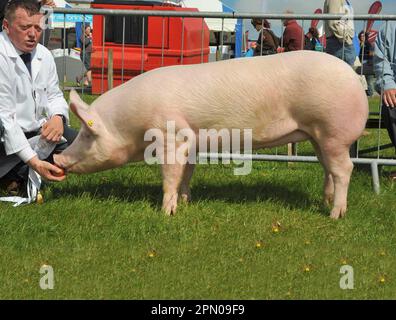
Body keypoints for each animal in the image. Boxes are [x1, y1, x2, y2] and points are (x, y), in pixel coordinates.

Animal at [52, 51, 368, 219]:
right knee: (328, 168)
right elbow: (186, 173)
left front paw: (167, 212)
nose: (58, 159)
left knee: (344, 168)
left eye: (86, 135)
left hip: (334, 131)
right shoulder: (190, 141)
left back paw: (335, 214)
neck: (132, 127)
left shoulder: (170, 136)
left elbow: (169, 174)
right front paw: (186, 201)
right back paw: (325, 201)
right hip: (317, 136)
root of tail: (355, 79)